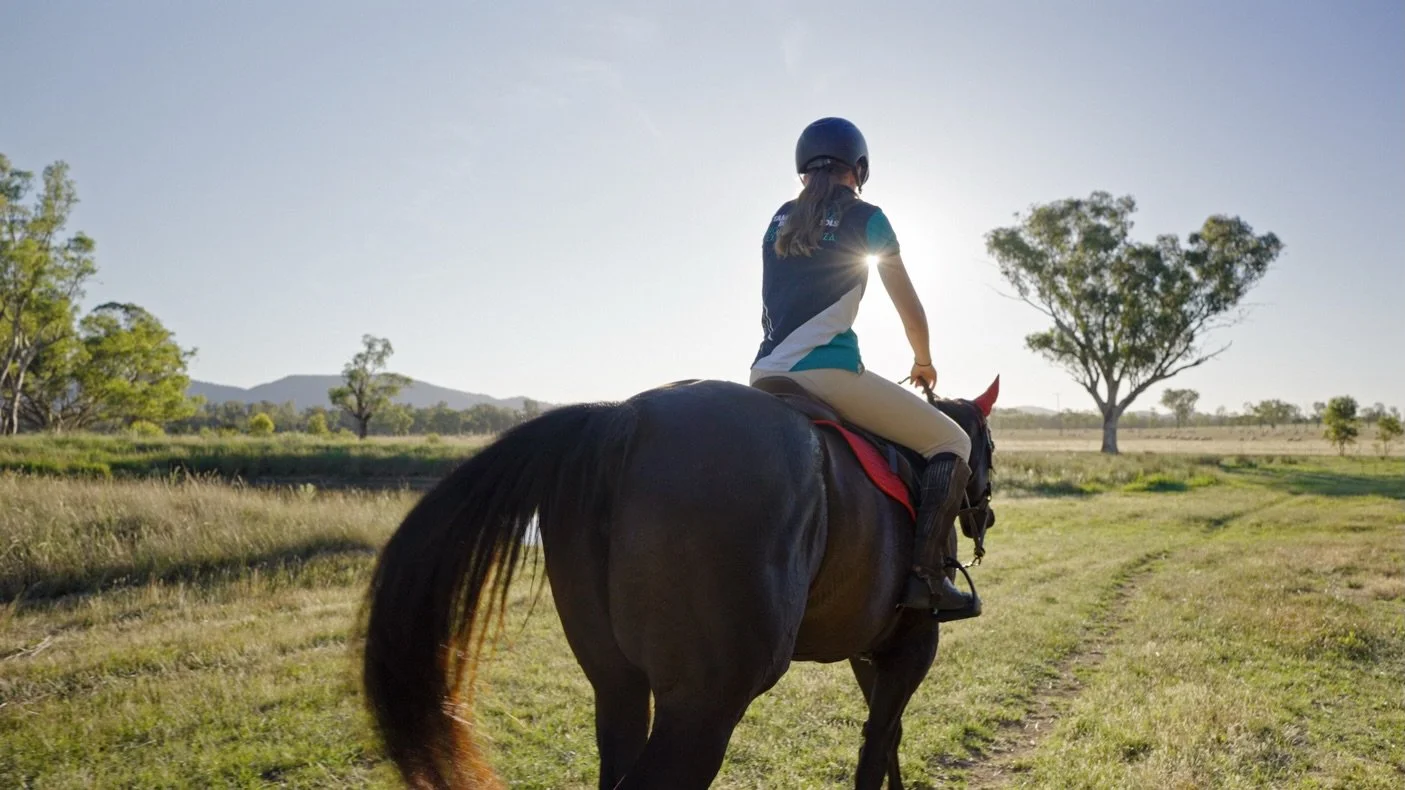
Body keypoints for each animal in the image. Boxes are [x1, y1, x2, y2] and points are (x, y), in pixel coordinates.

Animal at [360, 375, 999, 789]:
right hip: (704, 704)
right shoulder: (914, 643)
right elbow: (877, 742)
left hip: (617, 684)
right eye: (989, 445)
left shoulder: (870, 650)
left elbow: (886, 738)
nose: (986, 517)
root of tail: (621, 417)